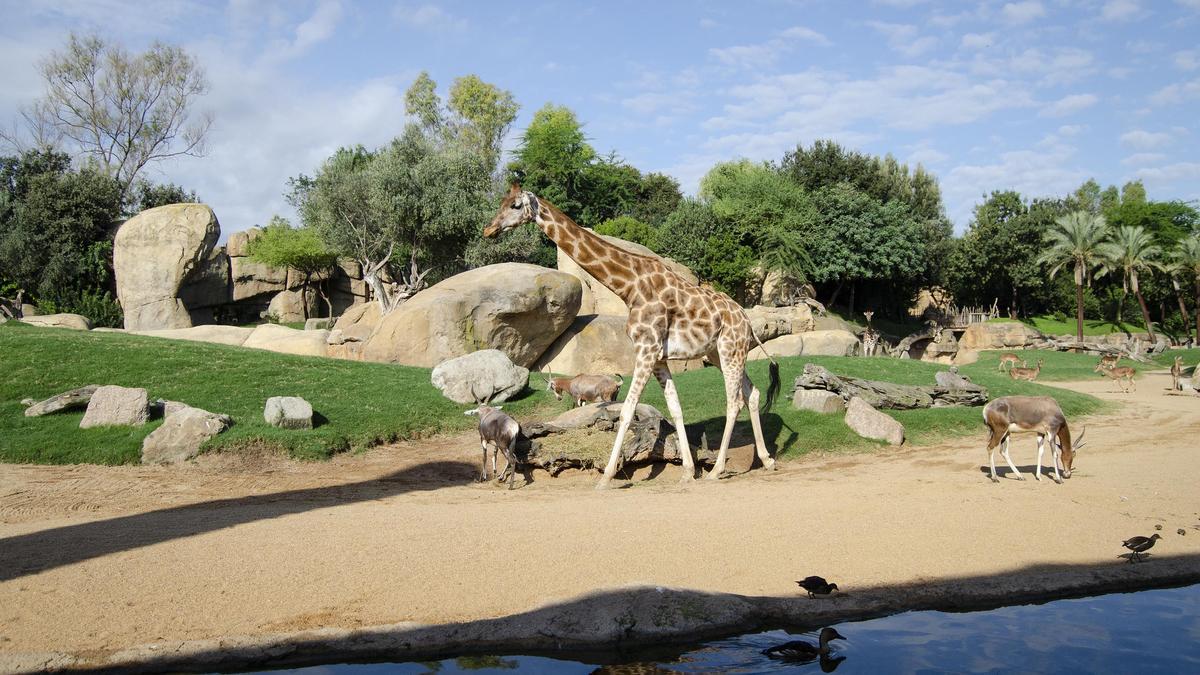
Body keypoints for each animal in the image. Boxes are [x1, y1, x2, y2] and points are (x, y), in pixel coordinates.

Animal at [482, 184, 782, 487]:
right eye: (502, 203)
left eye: (515, 206)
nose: (488, 229)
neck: (629, 286)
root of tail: (746, 320)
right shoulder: (659, 357)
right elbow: (675, 408)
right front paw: (687, 471)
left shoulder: (646, 349)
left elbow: (627, 411)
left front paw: (605, 477)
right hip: (720, 352)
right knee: (752, 393)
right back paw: (767, 460)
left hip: (730, 348)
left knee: (734, 401)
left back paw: (718, 469)